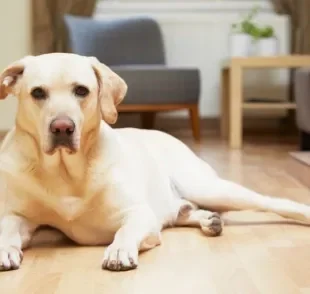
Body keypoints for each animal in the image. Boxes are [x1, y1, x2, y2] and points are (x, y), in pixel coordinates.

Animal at [0, 52, 310, 272]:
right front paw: (5, 249)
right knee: (182, 212)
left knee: (273, 202)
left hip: (210, 188)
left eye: (81, 91)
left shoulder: (139, 213)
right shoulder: (17, 216)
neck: (64, 172)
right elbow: (8, 229)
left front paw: (119, 250)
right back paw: (208, 219)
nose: (62, 128)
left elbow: (125, 230)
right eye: (38, 93)